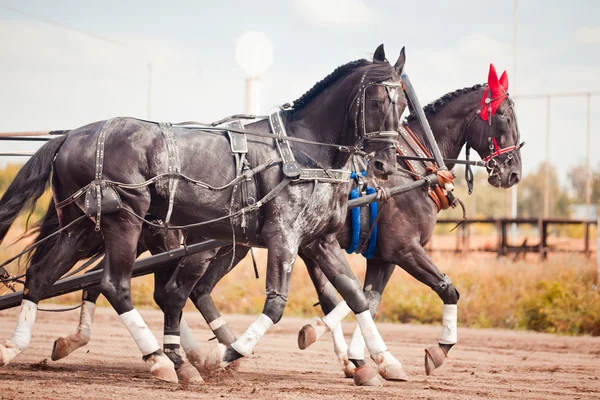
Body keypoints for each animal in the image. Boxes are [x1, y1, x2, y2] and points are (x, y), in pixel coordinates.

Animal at [0, 46, 408, 384]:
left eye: (402, 104)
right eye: (375, 101)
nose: (385, 165)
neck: (301, 150)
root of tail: (71, 136)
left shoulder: (319, 240)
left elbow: (355, 296)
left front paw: (382, 361)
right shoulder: (283, 235)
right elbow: (276, 304)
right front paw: (227, 354)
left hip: (82, 225)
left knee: (40, 277)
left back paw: (15, 347)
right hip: (125, 219)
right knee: (115, 285)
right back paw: (160, 359)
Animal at [49, 64, 524, 382]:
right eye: (504, 116)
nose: (514, 172)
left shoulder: (368, 252)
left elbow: (359, 300)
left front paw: (369, 359)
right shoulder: (399, 247)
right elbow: (435, 290)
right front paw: (424, 351)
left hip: (198, 241)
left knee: (157, 290)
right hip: (175, 238)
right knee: (143, 288)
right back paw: (172, 355)